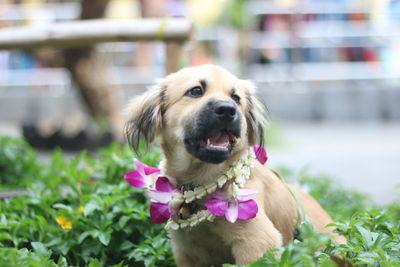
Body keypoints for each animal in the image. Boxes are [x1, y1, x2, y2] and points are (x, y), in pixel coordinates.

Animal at [124, 65, 344, 267]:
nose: (227, 110)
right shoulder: (186, 251)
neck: (199, 182)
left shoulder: (257, 243)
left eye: (236, 98)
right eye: (195, 91)